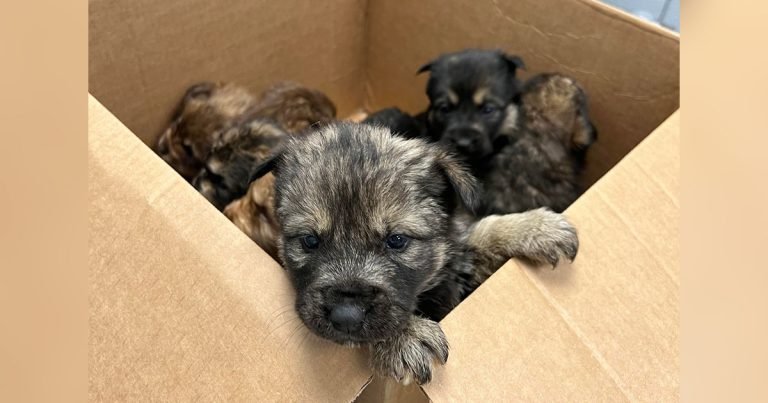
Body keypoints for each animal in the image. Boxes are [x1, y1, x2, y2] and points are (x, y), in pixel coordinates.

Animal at [249, 122, 580, 386]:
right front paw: (405, 338)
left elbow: (479, 235)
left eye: (397, 240)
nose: (346, 316)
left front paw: (534, 228)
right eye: (309, 240)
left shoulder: (454, 262)